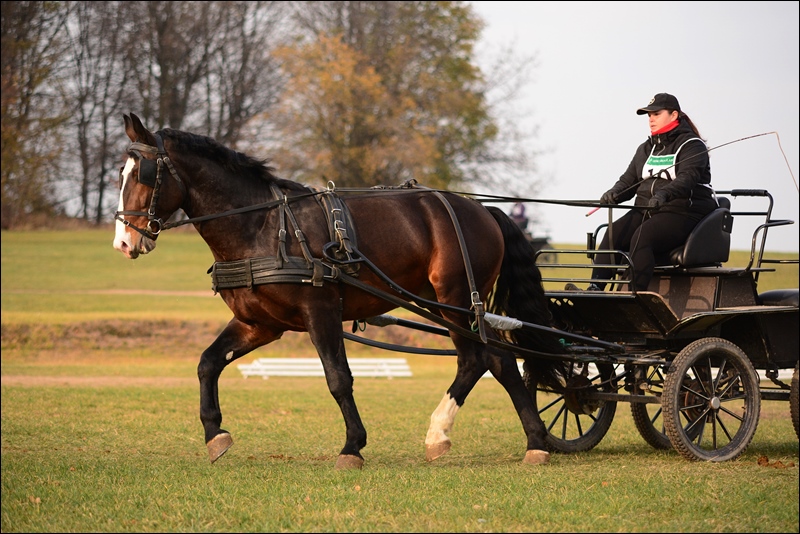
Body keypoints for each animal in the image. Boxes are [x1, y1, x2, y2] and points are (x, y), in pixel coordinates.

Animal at [112, 112, 564, 468]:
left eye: (143, 174)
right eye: (120, 174)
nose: (123, 242)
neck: (261, 226)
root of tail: (481, 208)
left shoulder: (321, 311)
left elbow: (337, 378)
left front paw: (352, 447)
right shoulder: (258, 324)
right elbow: (208, 363)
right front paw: (215, 435)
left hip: (454, 299)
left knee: (475, 359)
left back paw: (439, 434)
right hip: (452, 304)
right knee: (500, 360)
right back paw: (536, 441)